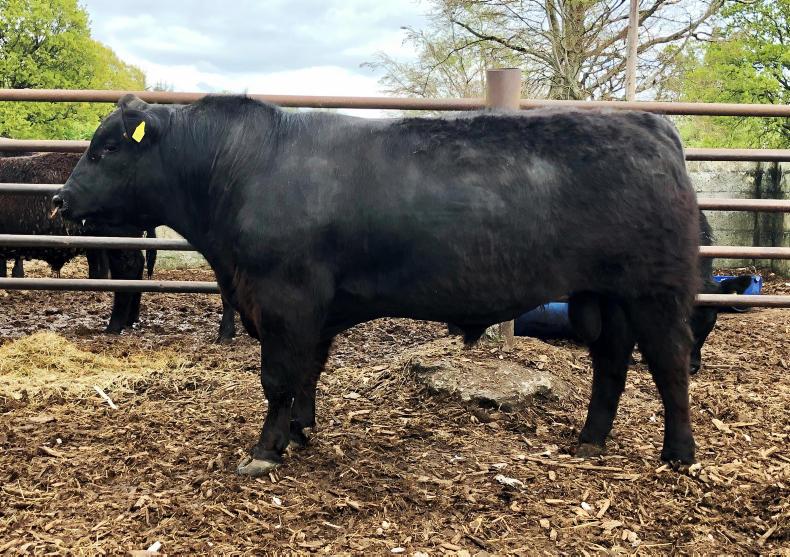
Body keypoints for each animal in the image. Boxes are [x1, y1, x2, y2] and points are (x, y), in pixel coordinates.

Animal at [54, 94, 700, 476]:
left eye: (106, 147)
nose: (60, 198)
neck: (241, 168)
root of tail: (652, 125)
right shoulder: (310, 309)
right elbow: (307, 373)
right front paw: (299, 432)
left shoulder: (285, 298)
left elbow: (278, 378)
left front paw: (264, 452)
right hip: (606, 295)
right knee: (611, 362)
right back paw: (590, 439)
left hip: (656, 292)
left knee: (670, 366)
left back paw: (679, 456)